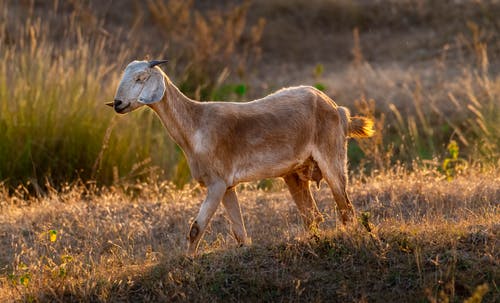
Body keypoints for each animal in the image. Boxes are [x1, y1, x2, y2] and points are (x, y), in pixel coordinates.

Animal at [109, 60, 376, 255]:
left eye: (140, 78)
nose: (118, 103)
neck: (196, 123)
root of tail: (338, 110)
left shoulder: (216, 183)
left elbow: (196, 228)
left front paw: (188, 260)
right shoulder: (227, 187)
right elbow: (239, 232)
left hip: (332, 158)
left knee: (345, 208)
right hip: (294, 174)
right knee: (313, 216)